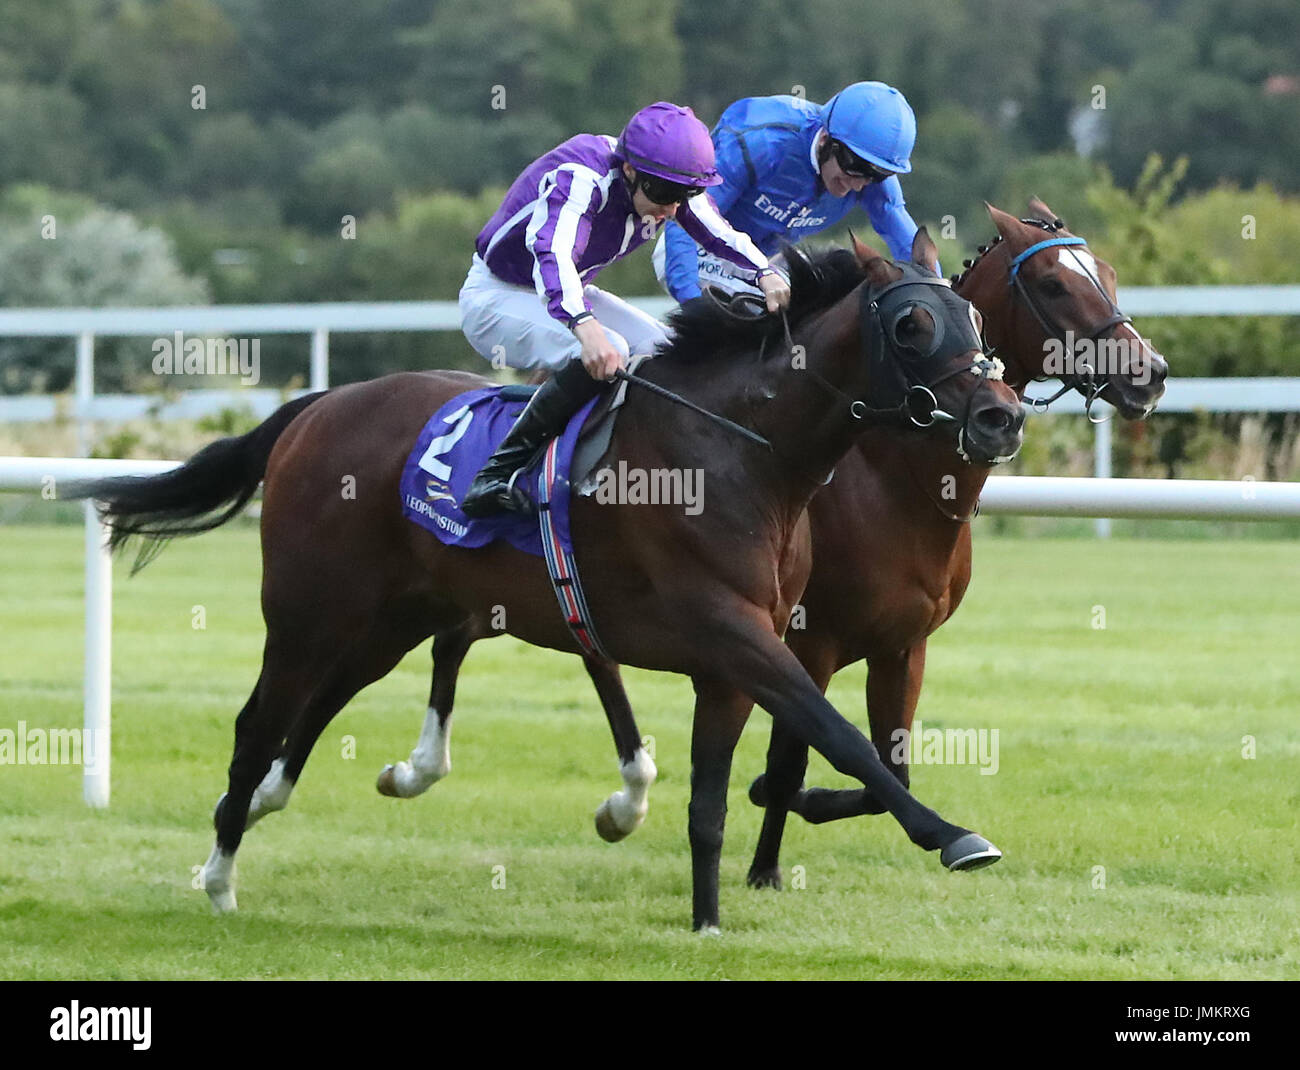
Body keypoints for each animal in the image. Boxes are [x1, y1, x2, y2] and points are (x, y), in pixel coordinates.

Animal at [73, 227, 1024, 930]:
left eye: (976, 328)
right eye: (910, 328)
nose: (1000, 416)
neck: (742, 455)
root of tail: (319, 405)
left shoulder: (733, 660)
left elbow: (713, 800)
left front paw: (707, 922)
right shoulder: (740, 634)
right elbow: (841, 736)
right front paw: (954, 837)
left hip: (387, 618)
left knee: (322, 704)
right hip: (307, 615)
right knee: (254, 726)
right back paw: (219, 876)